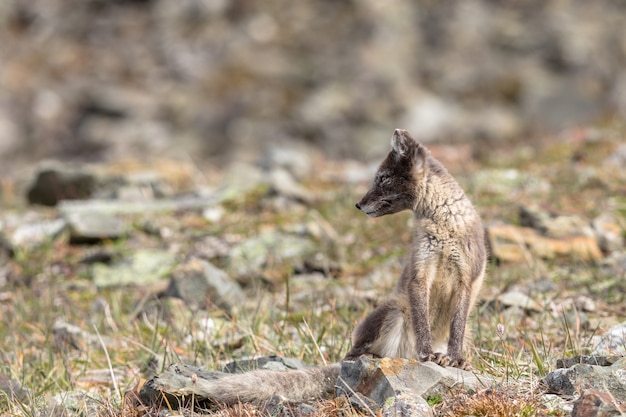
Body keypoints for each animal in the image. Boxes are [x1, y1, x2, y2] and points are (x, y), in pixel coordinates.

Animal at [144, 129, 486, 404]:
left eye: (382, 178)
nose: (358, 204)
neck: (443, 223)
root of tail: (400, 356)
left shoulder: (467, 279)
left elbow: (456, 327)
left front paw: (455, 360)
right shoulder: (419, 273)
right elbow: (422, 321)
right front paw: (428, 354)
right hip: (392, 312)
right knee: (356, 354)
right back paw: (373, 358)